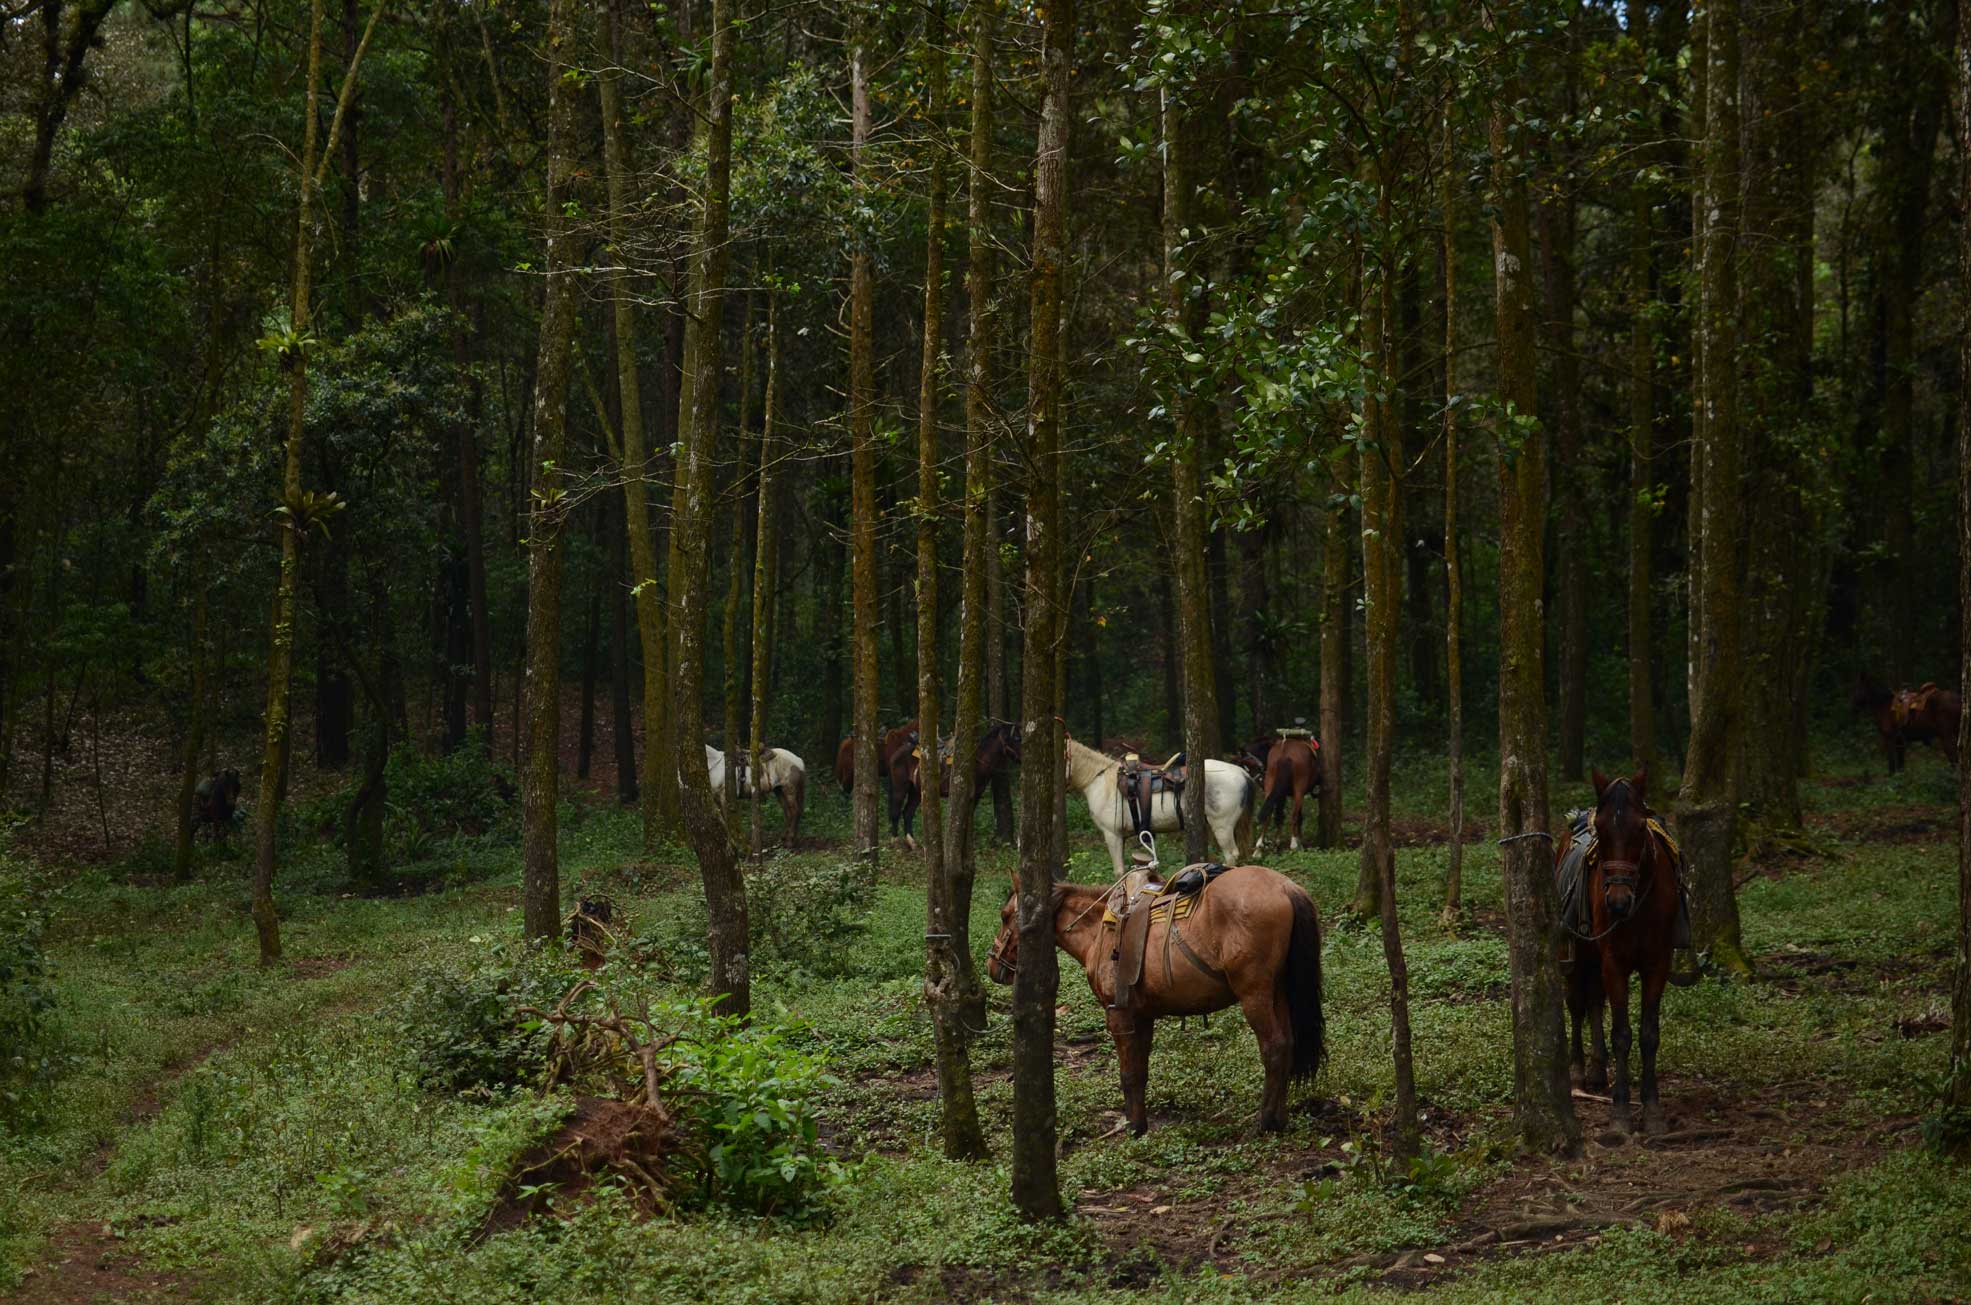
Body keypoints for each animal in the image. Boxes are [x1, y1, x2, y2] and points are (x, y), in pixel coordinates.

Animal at [884, 720, 1023, 851]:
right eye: (1016, 738)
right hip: (900, 787)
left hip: (916, 791)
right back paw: (895, 842)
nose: (1022, 759)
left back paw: (913, 843)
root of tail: (896, 753)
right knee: (896, 811)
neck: (977, 761)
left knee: (908, 813)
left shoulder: (977, 794)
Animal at [985, 866, 1325, 1135]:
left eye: (1004, 916)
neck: (1098, 931)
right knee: (1289, 1045)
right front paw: (1141, 1123)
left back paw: (1265, 1122)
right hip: (1279, 991)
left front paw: (1134, 1127)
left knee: (1275, 1048)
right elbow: (1140, 1072)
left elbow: (1127, 1073)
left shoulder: (1119, 1015)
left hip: (1255, 994)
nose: (992, 965)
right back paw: (1280, 1118)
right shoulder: (1142, 1016)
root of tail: (1286, 887)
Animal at [1064, 736, 1255, 877]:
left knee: (1231, 855)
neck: (1101, 780)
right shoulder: (1120, 837)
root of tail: (1241, 772)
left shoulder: (1112, 835)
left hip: (1222, 826)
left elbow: (1118, 872)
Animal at [1554, 766, 1689, 1137]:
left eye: (1641, 828)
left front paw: (1652, 1109)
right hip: (1577, 951)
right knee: (1577, 1002)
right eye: (1601, 830)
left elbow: (1648, 1034)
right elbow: (1621, 1035)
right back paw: (1578, 1070)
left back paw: (1599, 1070)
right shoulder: (1614, 961)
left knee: (1593, 1001)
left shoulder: (1657, 963)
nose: (1617, 902)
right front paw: (1620, 1112)